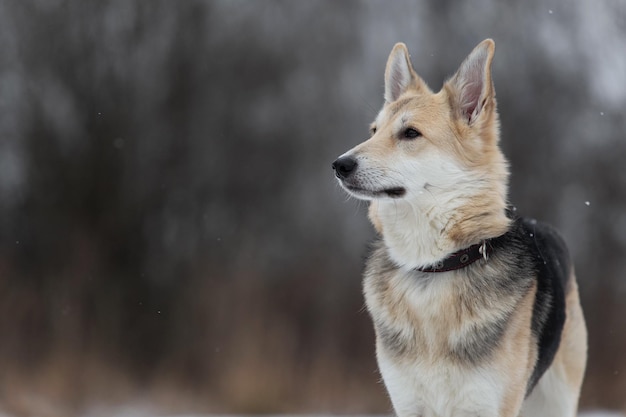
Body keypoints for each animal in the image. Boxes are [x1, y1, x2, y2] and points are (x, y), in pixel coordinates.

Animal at [332, 38, 584, 412]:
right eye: (374, 132)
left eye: (410, 133)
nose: (339, 165)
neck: (434, 267)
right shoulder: (408, 403)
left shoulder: (489, 405)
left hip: (557, 397)